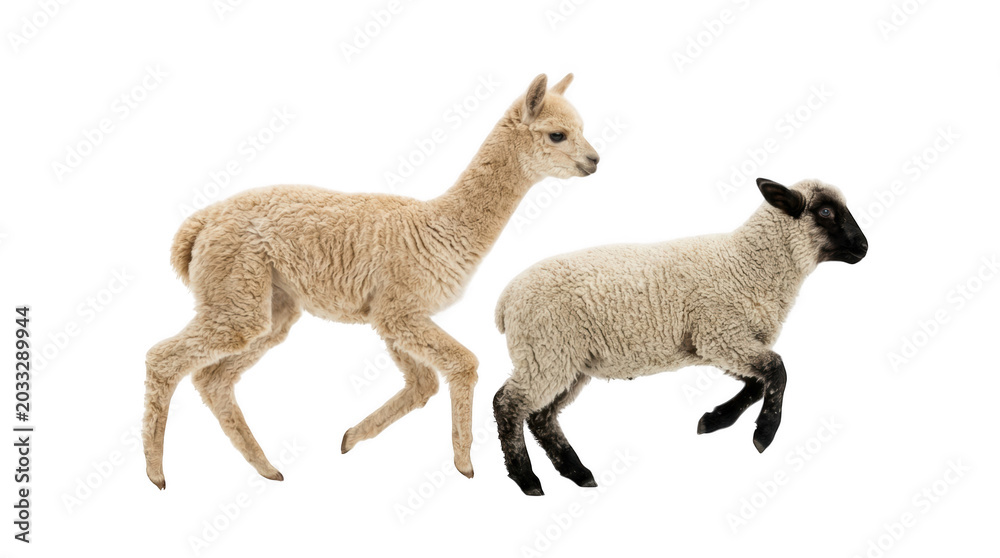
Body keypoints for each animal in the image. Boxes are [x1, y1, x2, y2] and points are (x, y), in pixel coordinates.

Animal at [142, 73, 601, 489]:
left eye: (583, 128)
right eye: (558, 134)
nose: (595, 160)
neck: (442, 227)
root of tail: (201, 223)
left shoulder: (389, 314)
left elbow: (422, 383)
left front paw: (350, 438)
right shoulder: (400, 308)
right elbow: (463, 363)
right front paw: (464, 464)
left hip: (270, 305)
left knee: (212, 379)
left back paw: (266, 468)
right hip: (237, 292)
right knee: (162, 358)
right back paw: (156, 474)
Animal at [492, 178, 868, 495]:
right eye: (825, 212)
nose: (864, 247)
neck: (749, 264)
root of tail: (505, 301)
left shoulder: (719, 344)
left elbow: (758, 383)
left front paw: (714, 420)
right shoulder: (720, 333)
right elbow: (778, 370)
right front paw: (764, 433)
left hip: (568, 362)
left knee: (540, 417)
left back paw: (577, 472)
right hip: (546, 351)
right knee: (507, 404)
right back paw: (527, 479)